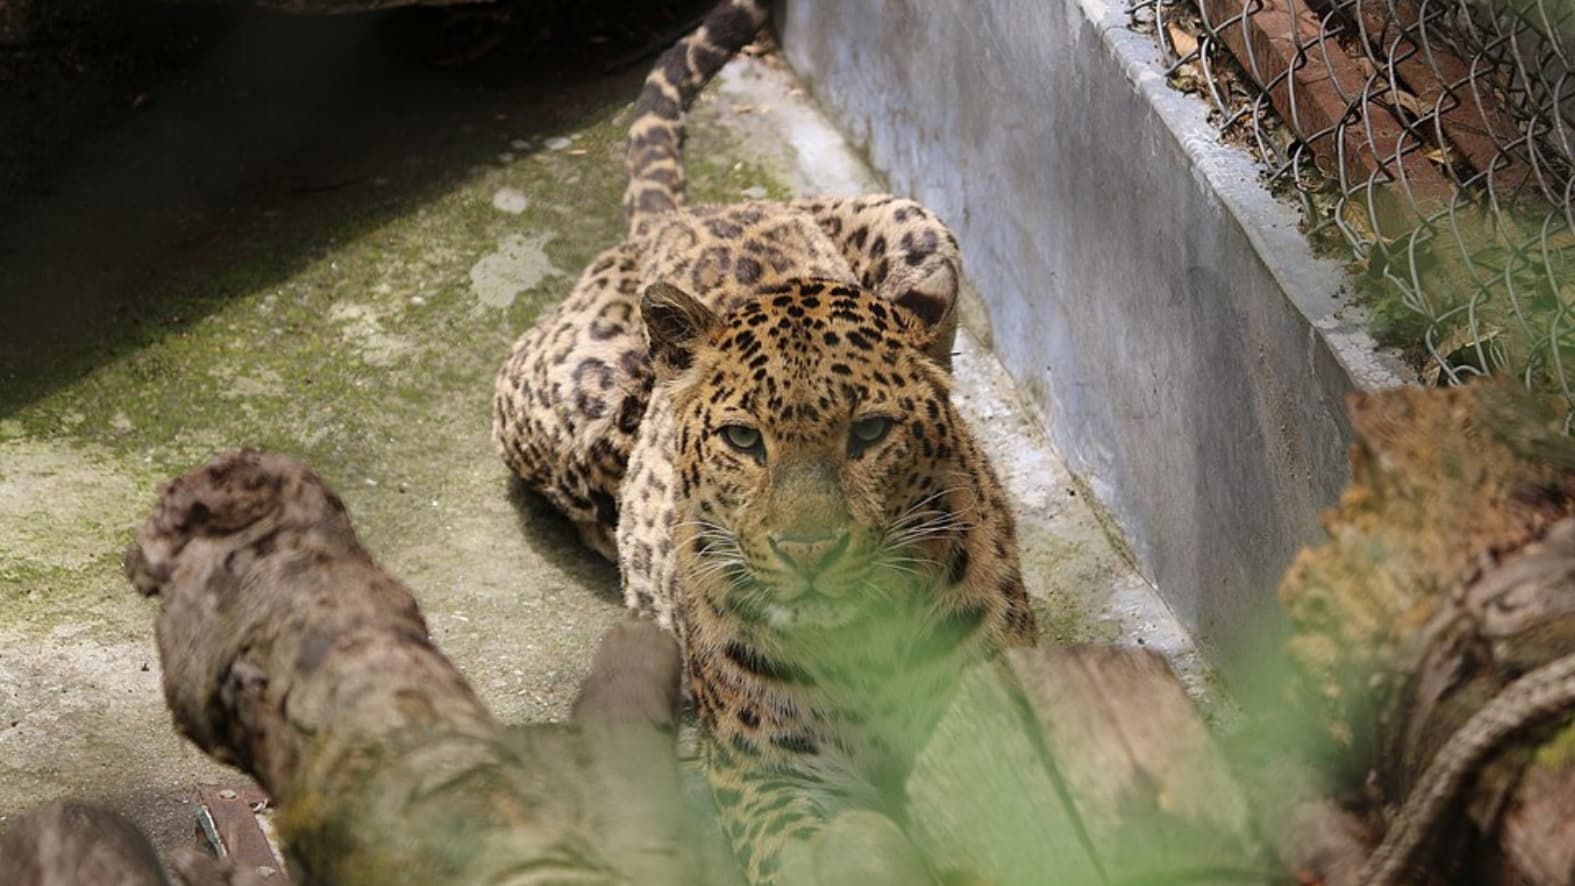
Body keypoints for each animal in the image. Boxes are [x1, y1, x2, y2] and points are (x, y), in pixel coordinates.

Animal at [490, 1, 1038, 882]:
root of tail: (691, 213)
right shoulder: (766, 777)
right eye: (743, 440)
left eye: (869, 432)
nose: (808, 551)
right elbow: (833, 850)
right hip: (577, 394)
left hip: (922, 228)